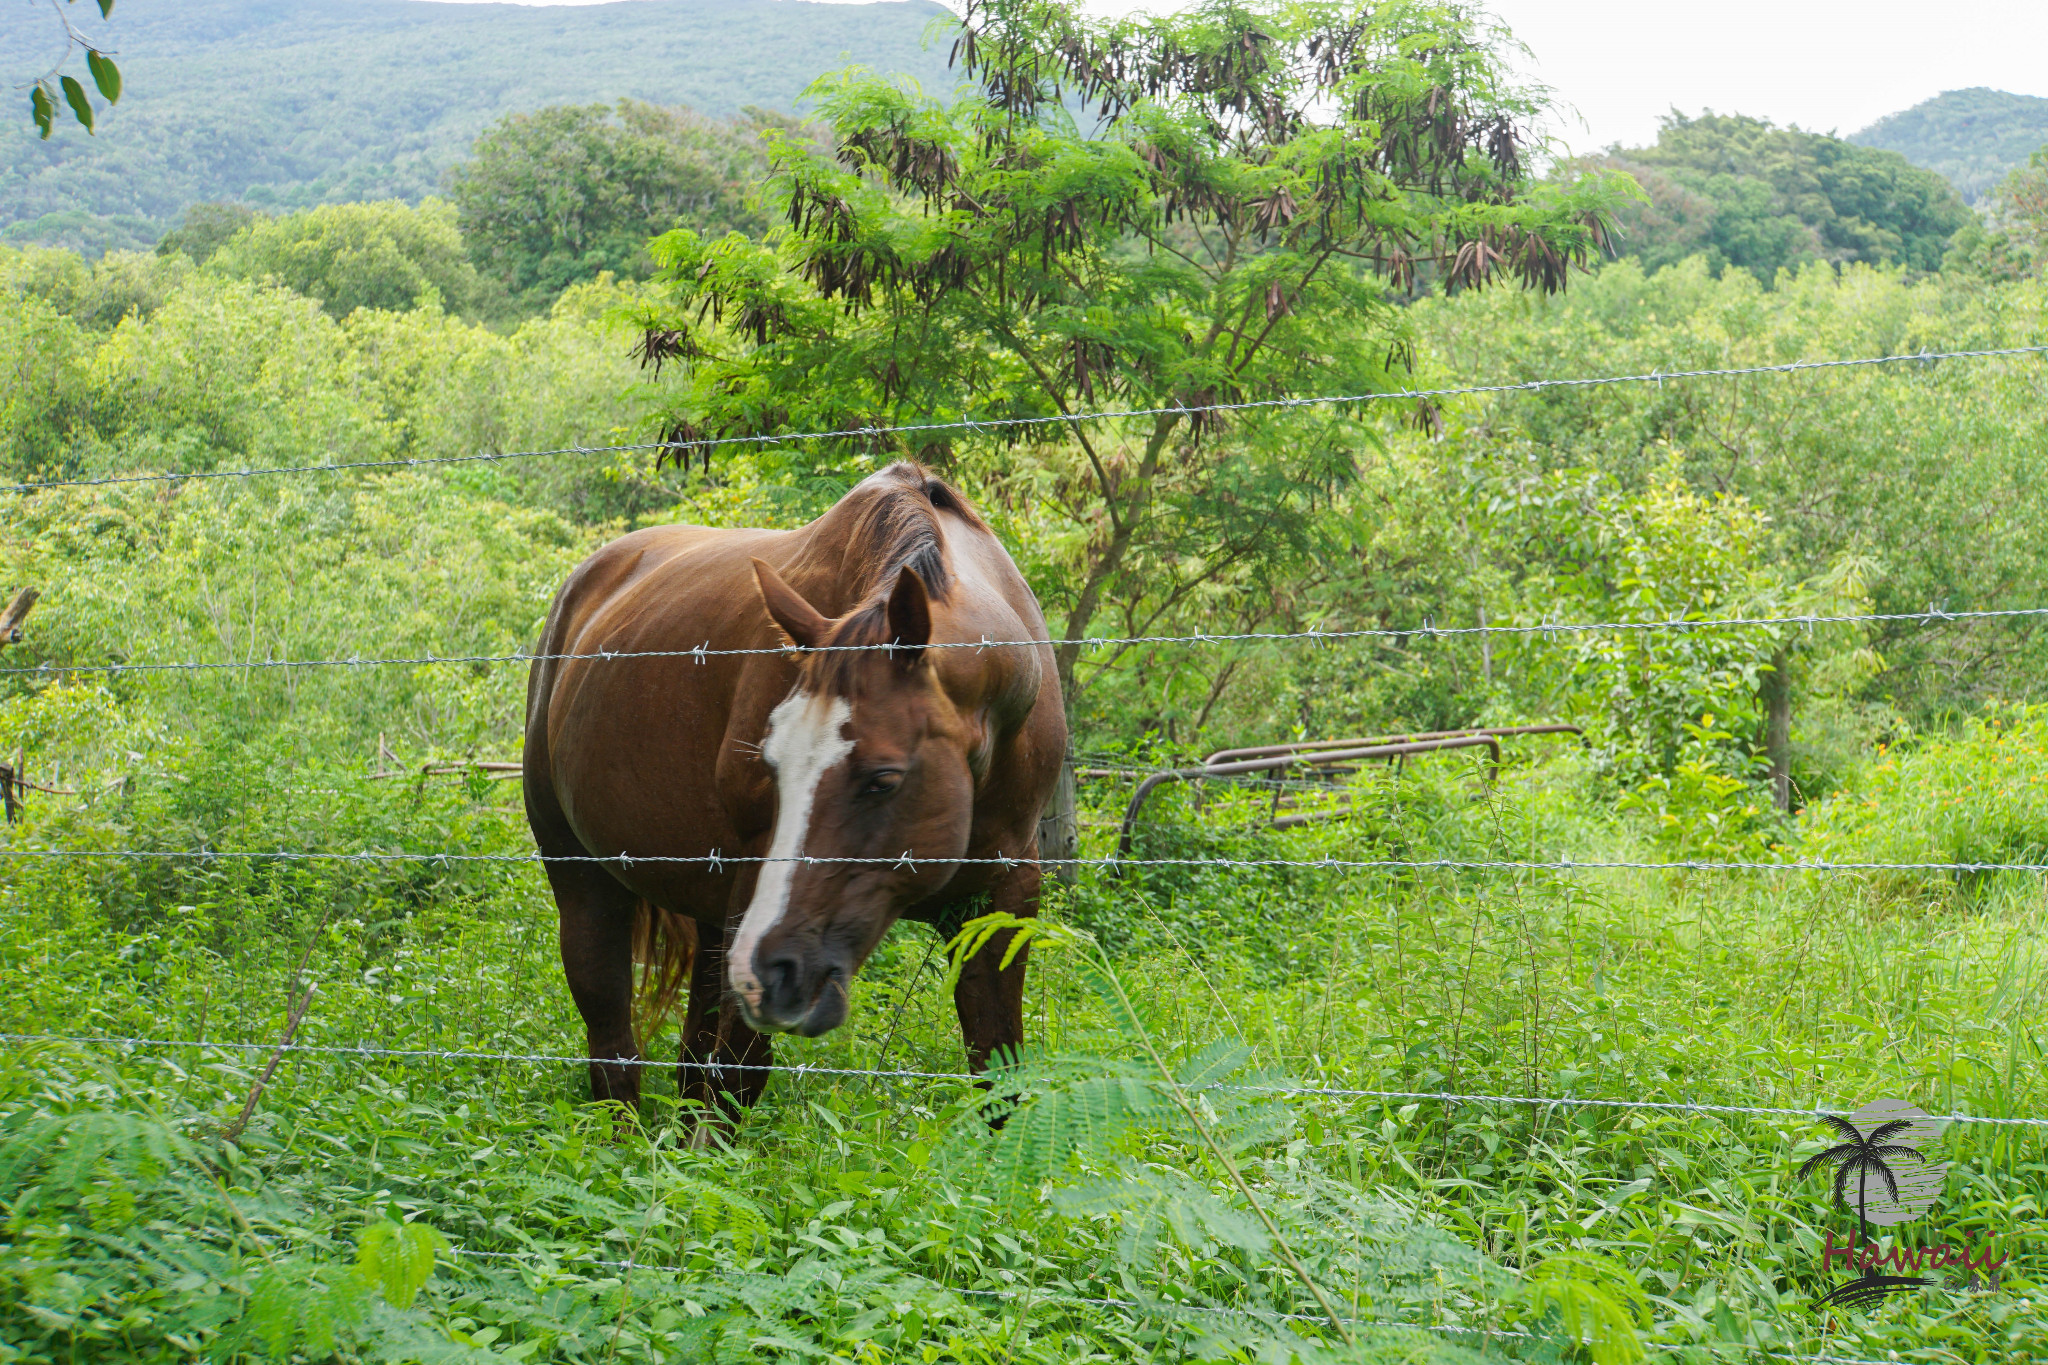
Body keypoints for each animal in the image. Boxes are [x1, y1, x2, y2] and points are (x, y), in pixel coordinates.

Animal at [520, 464, 1064, 1113]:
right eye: (772, 767)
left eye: (883, 780)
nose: (774, 969)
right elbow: (736, 1075)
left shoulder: (1004, 901)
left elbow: (1000, 1078)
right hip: (589, 887)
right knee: (615, 1059)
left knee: (688, 1059)